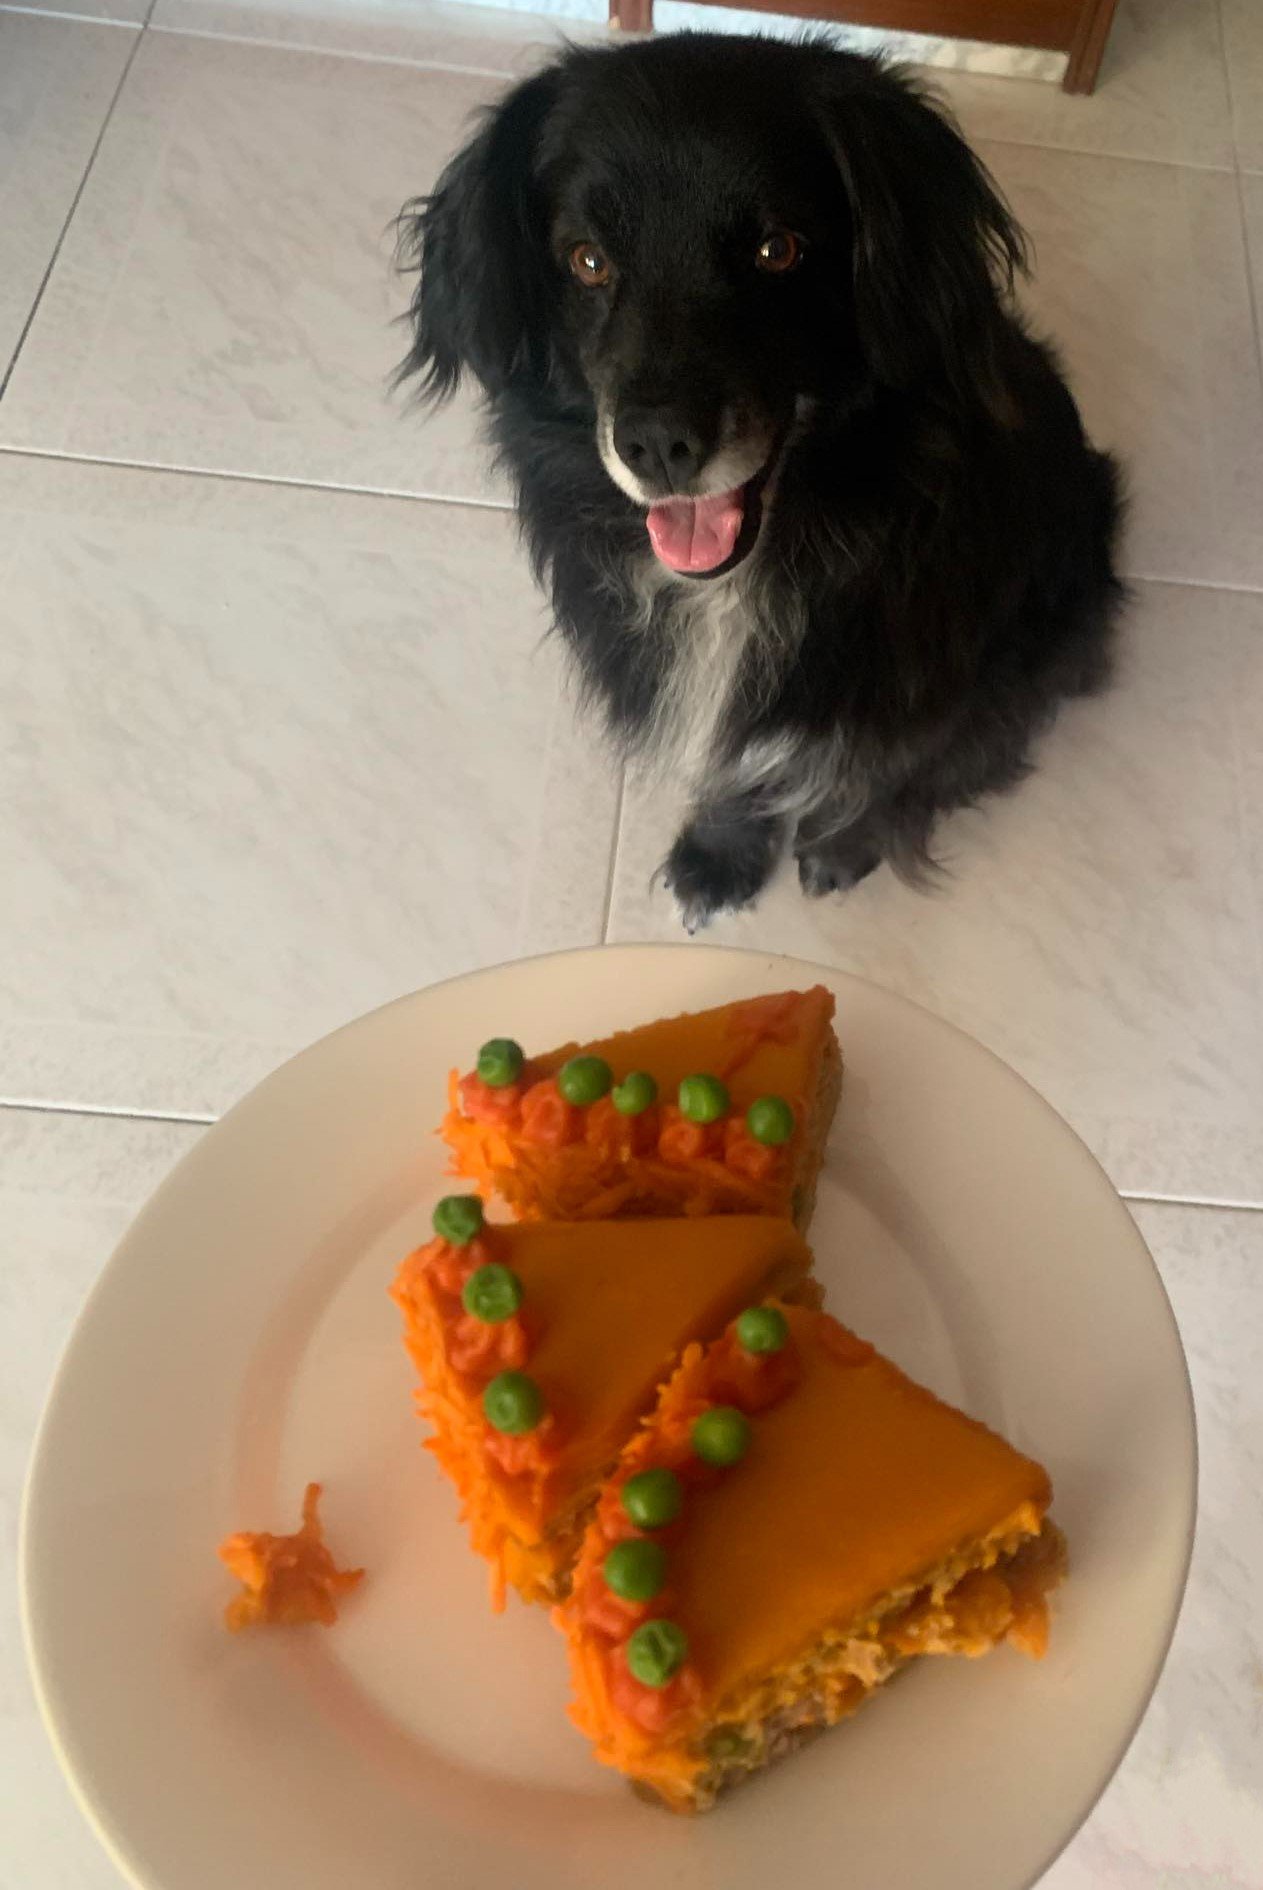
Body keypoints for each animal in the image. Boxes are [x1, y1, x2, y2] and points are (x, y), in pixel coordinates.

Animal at [397, 34, 1126, 929]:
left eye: (777, 250)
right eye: (587, 261)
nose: (656, 445)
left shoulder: (929, 685)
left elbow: (886, 774)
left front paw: (844, 846)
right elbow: (733, 767)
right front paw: (719, 856)